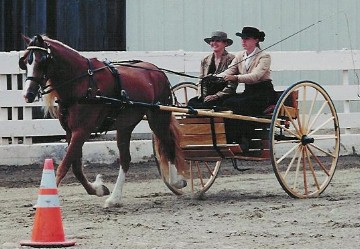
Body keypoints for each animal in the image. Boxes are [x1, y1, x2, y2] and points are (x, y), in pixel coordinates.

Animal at [19, 34, 188, 207]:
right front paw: (98, 189)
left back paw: (176, 182)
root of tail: (157, 71)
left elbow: (64, 166)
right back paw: (115, 198)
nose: (28, 94)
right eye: (24, 62)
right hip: (125, 125)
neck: (81, 83)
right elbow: (76, 167)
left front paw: (43, 202)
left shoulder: (82, 131)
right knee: (125, 159)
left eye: (42, 60)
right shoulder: (70, 132)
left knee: (169, 145)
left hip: (158, 119)